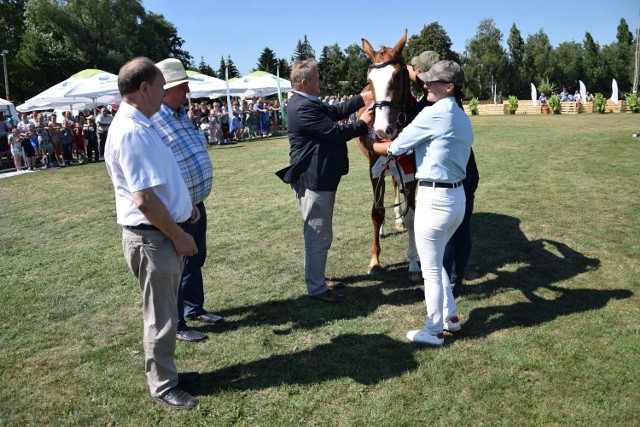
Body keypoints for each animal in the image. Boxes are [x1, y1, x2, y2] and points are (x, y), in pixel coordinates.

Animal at [358, 28, 422, 280]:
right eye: (369, 80)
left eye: (398, 76)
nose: (381, 129)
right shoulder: (374, 167)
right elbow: (376, 211)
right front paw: (375, 261)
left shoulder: (411, 170)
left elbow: (412, 215)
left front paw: (413, 263)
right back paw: (384, 228)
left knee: (395, 186)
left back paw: (397, 220)